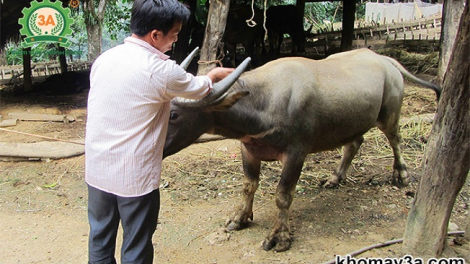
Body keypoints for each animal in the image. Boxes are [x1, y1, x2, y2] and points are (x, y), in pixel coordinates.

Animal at [164, 48, 440, 253]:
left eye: (174, 115)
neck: (264, 103)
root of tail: (385, 60)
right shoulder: (249, 149)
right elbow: (248, 186)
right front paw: (239, 218)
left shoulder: (296, 153)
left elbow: (283, 195)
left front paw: (280, 237)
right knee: (354, 143)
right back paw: (335, 178)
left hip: (389, 114)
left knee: (395, 139)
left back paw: (401, 175)